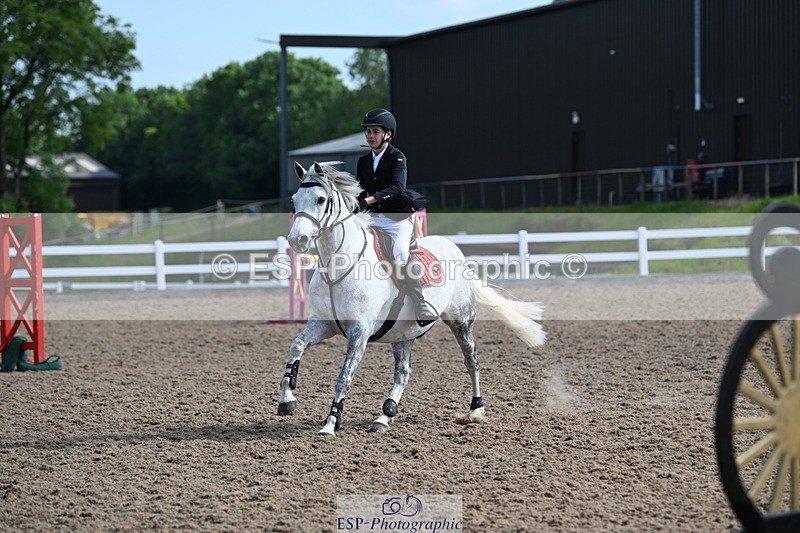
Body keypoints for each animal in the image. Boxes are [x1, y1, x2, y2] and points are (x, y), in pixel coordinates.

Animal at [279, 161, 546, 436]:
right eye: (295, 200)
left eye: (321, 199)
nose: (297, 241)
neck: (338, 268)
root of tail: (455, 250)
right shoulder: (323, 323)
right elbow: (296, 347)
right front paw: (287, 400)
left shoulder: (359, 331)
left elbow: (344, 377)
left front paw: (330, 424)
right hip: (402, 332)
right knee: (403, 373)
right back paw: (384, 416)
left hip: (460, 321)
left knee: (471, 359)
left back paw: (475, 410)